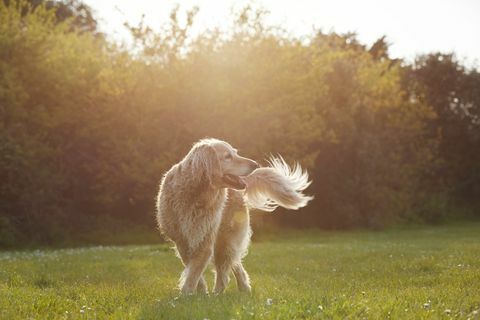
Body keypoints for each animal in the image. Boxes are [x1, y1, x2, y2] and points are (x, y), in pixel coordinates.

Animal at [156, 139, 314, 294]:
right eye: (227, 156)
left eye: (236, 153)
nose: (255, 164)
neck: (197, 195)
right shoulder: (181, 241)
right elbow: (192, 270)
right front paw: (198, 293)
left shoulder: (205, 240)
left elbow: (194, 272)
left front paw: (187, 295)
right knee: (233, 263)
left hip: (226, 240)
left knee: (225, 271)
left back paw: (223, 293)